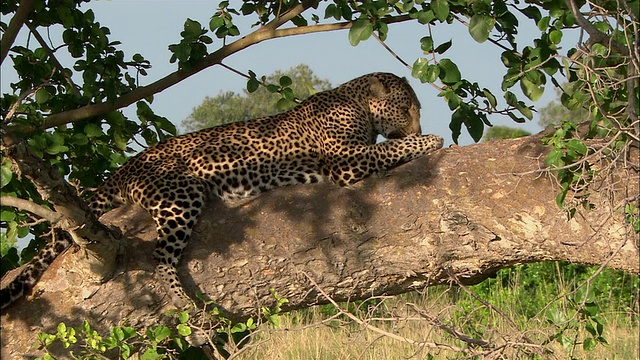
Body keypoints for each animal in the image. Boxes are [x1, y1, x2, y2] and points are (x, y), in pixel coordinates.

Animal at [0, 72, 442, 310]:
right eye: (408, 108)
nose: (420, 124)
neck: (357, 104)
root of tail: (125, 167)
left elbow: (386, 146)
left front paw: (427, 138)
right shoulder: (347, 160)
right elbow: (389, 148)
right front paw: (432, 140)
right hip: (179, 197)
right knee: (159, 255)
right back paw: (185, 301)